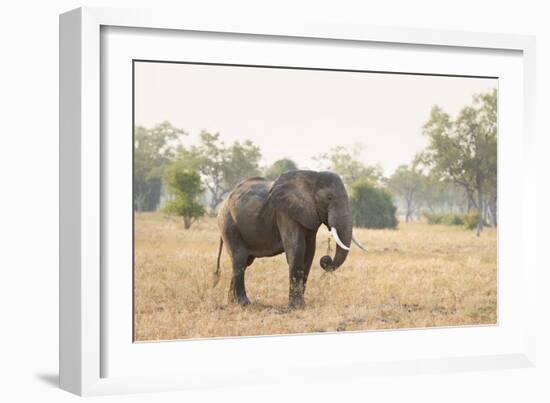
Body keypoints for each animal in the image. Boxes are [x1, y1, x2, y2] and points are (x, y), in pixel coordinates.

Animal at [217, 170, 370, 310]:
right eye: (329, 197)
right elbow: (296, 249)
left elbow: (309, 253)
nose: (326, 259)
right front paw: (296, 307)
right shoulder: (285, 213)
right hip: (229, 223)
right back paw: (244, 303)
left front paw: (301, 305)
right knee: (240, 259)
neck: (313, 176)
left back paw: (232, 303)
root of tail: (224, 201)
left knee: (244, 262)